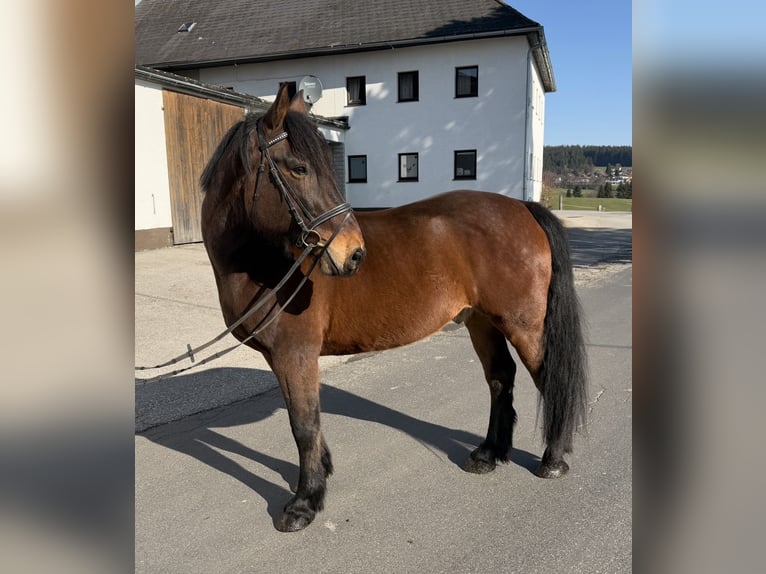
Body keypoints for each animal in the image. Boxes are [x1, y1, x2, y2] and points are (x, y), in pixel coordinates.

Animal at [200, 84, 588, 532]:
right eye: (299, 168)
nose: (353, 254)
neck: (264, 260)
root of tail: (522, 207)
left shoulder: (295, 355)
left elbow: (303, 424)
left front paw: (304, 502)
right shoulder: (284, 358)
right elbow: (309, 420)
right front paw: (321, 474)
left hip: (523, 324)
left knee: (547, 378)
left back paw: (553, 460)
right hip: (482, 322)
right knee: (500, 379)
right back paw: (488, 454)